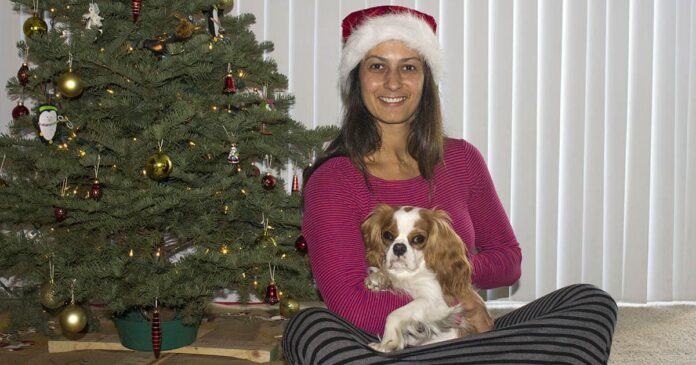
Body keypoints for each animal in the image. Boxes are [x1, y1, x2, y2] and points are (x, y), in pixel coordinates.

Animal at [362, 203, 492, 352]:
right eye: (387, 235)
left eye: (418, 239)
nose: (399, 247)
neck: (409, 273)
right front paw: (378, 279)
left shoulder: (435, 301)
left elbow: (395, 313)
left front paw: (386, 343)